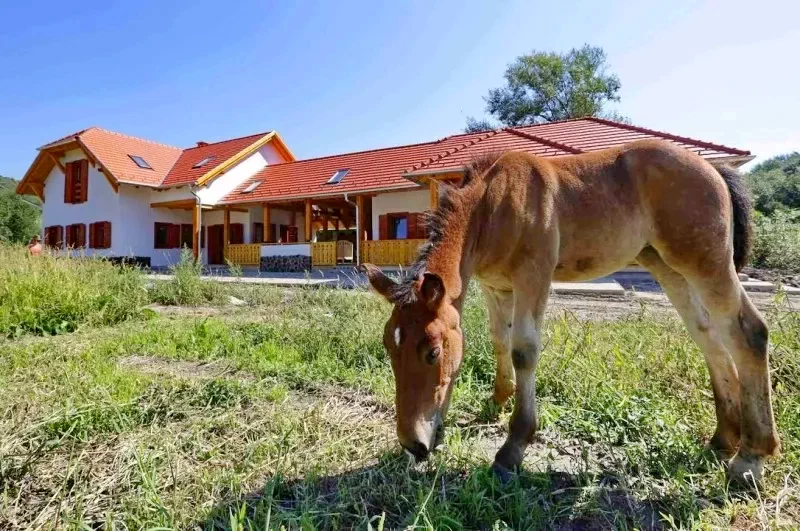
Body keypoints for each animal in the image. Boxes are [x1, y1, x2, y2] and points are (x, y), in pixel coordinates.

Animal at [366, 140, 780, 486]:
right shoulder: (495, 286)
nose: (413, 444)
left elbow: (523, 350)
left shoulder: (533, 277)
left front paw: (513, 447)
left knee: (748, 332)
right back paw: (724, 438)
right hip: (667, 267)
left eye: (433, 352)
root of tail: (714, 168)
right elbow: (499, 340)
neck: (492, 205)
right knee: (708, 335)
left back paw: (750, 457)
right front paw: (497, 401)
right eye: (389, 347)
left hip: (706, 263)